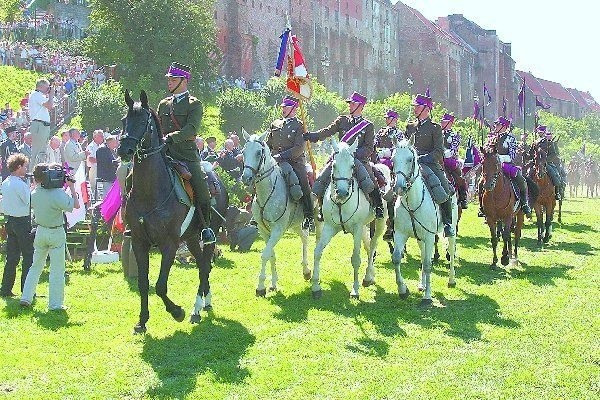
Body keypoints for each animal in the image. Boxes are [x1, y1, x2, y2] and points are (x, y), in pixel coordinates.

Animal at [117, 91, 213, 334]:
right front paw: (142, 321)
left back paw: (197, 308)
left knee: (206, 265)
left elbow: (160, 286)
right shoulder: (139, 242)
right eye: (124, 121)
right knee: (201, 265)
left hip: (209, 235)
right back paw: (204, 304)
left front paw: (177, 312)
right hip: (190, 238)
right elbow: (143, 283)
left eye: (143, 121)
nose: (123, 150)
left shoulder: (169, 243)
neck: (150, 192)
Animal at [241, 130, 312, 296]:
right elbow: (271, 254)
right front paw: (273, 284)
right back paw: (306, 271)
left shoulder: (277, 230)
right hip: (296, 224)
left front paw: (260, 286)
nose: (246, 178)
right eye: (243, 152)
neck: (267, 191)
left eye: (258, 152)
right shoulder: (264, 231)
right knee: (305, 239)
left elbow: (265, 254)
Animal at [310, 141, 390, 300]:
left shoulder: (357, 228)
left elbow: (356, 259)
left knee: (372, 247)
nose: (341, 192)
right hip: (364, 227)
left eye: (353, 166)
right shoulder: (329, 227)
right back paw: (370, 276)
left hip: (379, 224)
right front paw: (316, 287)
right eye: (334, 165)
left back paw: (367, 277)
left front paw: (355, 290)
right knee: (368, 246)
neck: (341, 203)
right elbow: (317, 252)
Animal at [392, 138, 458, 306]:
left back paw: (451, 280)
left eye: (410, 159)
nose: (399, 187)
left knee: (451, 251)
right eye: (393, 159)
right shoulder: (400, 234)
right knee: (422, 256)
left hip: (451, 230)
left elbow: (428, 265)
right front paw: (403, 290)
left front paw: (427, 297)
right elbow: (396, 258)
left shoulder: (429, 237)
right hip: (420, 238)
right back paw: (422, 284)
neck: (412, 202)